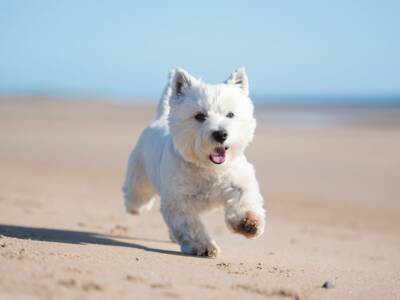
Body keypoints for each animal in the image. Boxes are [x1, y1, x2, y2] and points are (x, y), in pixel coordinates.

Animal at [122, 68, 266, 258]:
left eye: (230, 114)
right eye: (200, 116)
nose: (221, 134)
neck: (208, 168)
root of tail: (160, 118)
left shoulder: (238, 183)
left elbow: (244, 200)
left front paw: (248, 223)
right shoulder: (179, 201)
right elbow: (191, 226)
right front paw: (204, 246)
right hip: (139, 179)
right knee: (136, 195)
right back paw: (135, 208)